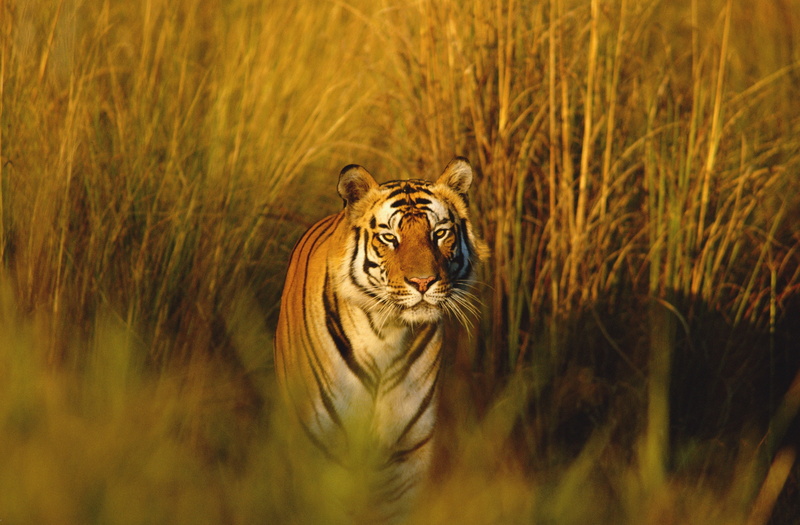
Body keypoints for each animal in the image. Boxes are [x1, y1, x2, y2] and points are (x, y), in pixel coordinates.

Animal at [274, 157, 487, 523]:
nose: (423, 282)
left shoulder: (408, 453)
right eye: (390, 237)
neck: (387, 334)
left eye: (439, 233)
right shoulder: (322, 447)